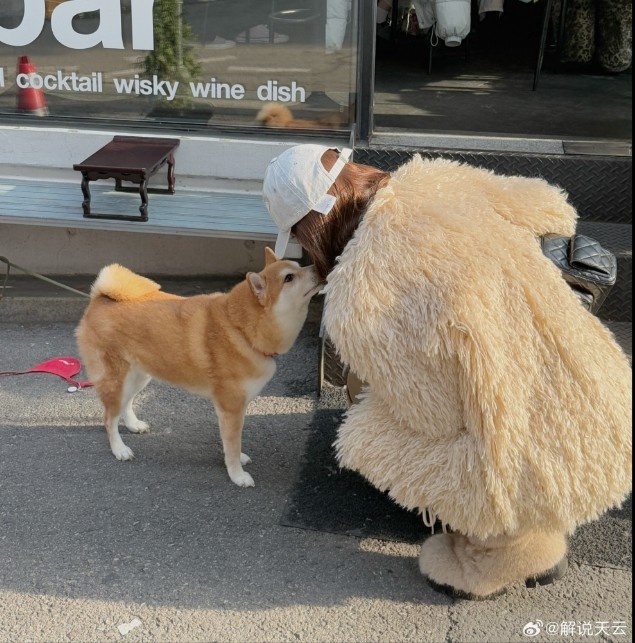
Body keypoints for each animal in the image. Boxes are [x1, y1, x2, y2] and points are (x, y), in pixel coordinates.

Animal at [76, 248, 320, 488]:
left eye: (298, 266)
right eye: (289, 278)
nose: (319, 267)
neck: (241, 329)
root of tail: (98, 298)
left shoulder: (233, 409)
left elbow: (231, 443)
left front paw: (236, 460)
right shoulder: (231, 407)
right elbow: (233, 445)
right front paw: (237, 475)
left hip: (139, 376)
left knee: (125, 405)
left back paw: (133, 425)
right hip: (118, 379)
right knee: (109, 418)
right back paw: (119, 449)